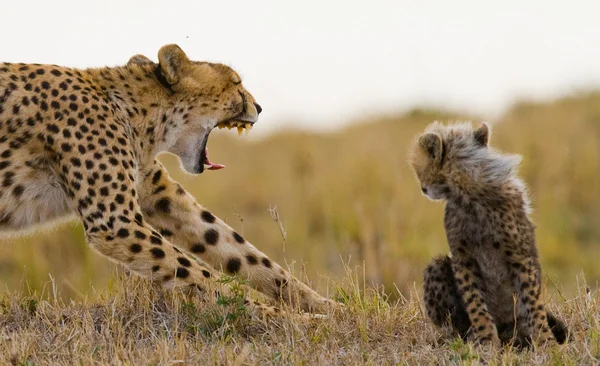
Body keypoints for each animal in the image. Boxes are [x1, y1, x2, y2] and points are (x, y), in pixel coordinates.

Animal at [0, 44, 338, 314]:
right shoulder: (116, 222)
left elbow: (240, 252)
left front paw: (328, 309)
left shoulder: (159, 199)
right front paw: (274, 315)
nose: (259, 107)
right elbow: (198, 273)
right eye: (236, 83)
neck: (136, 111)